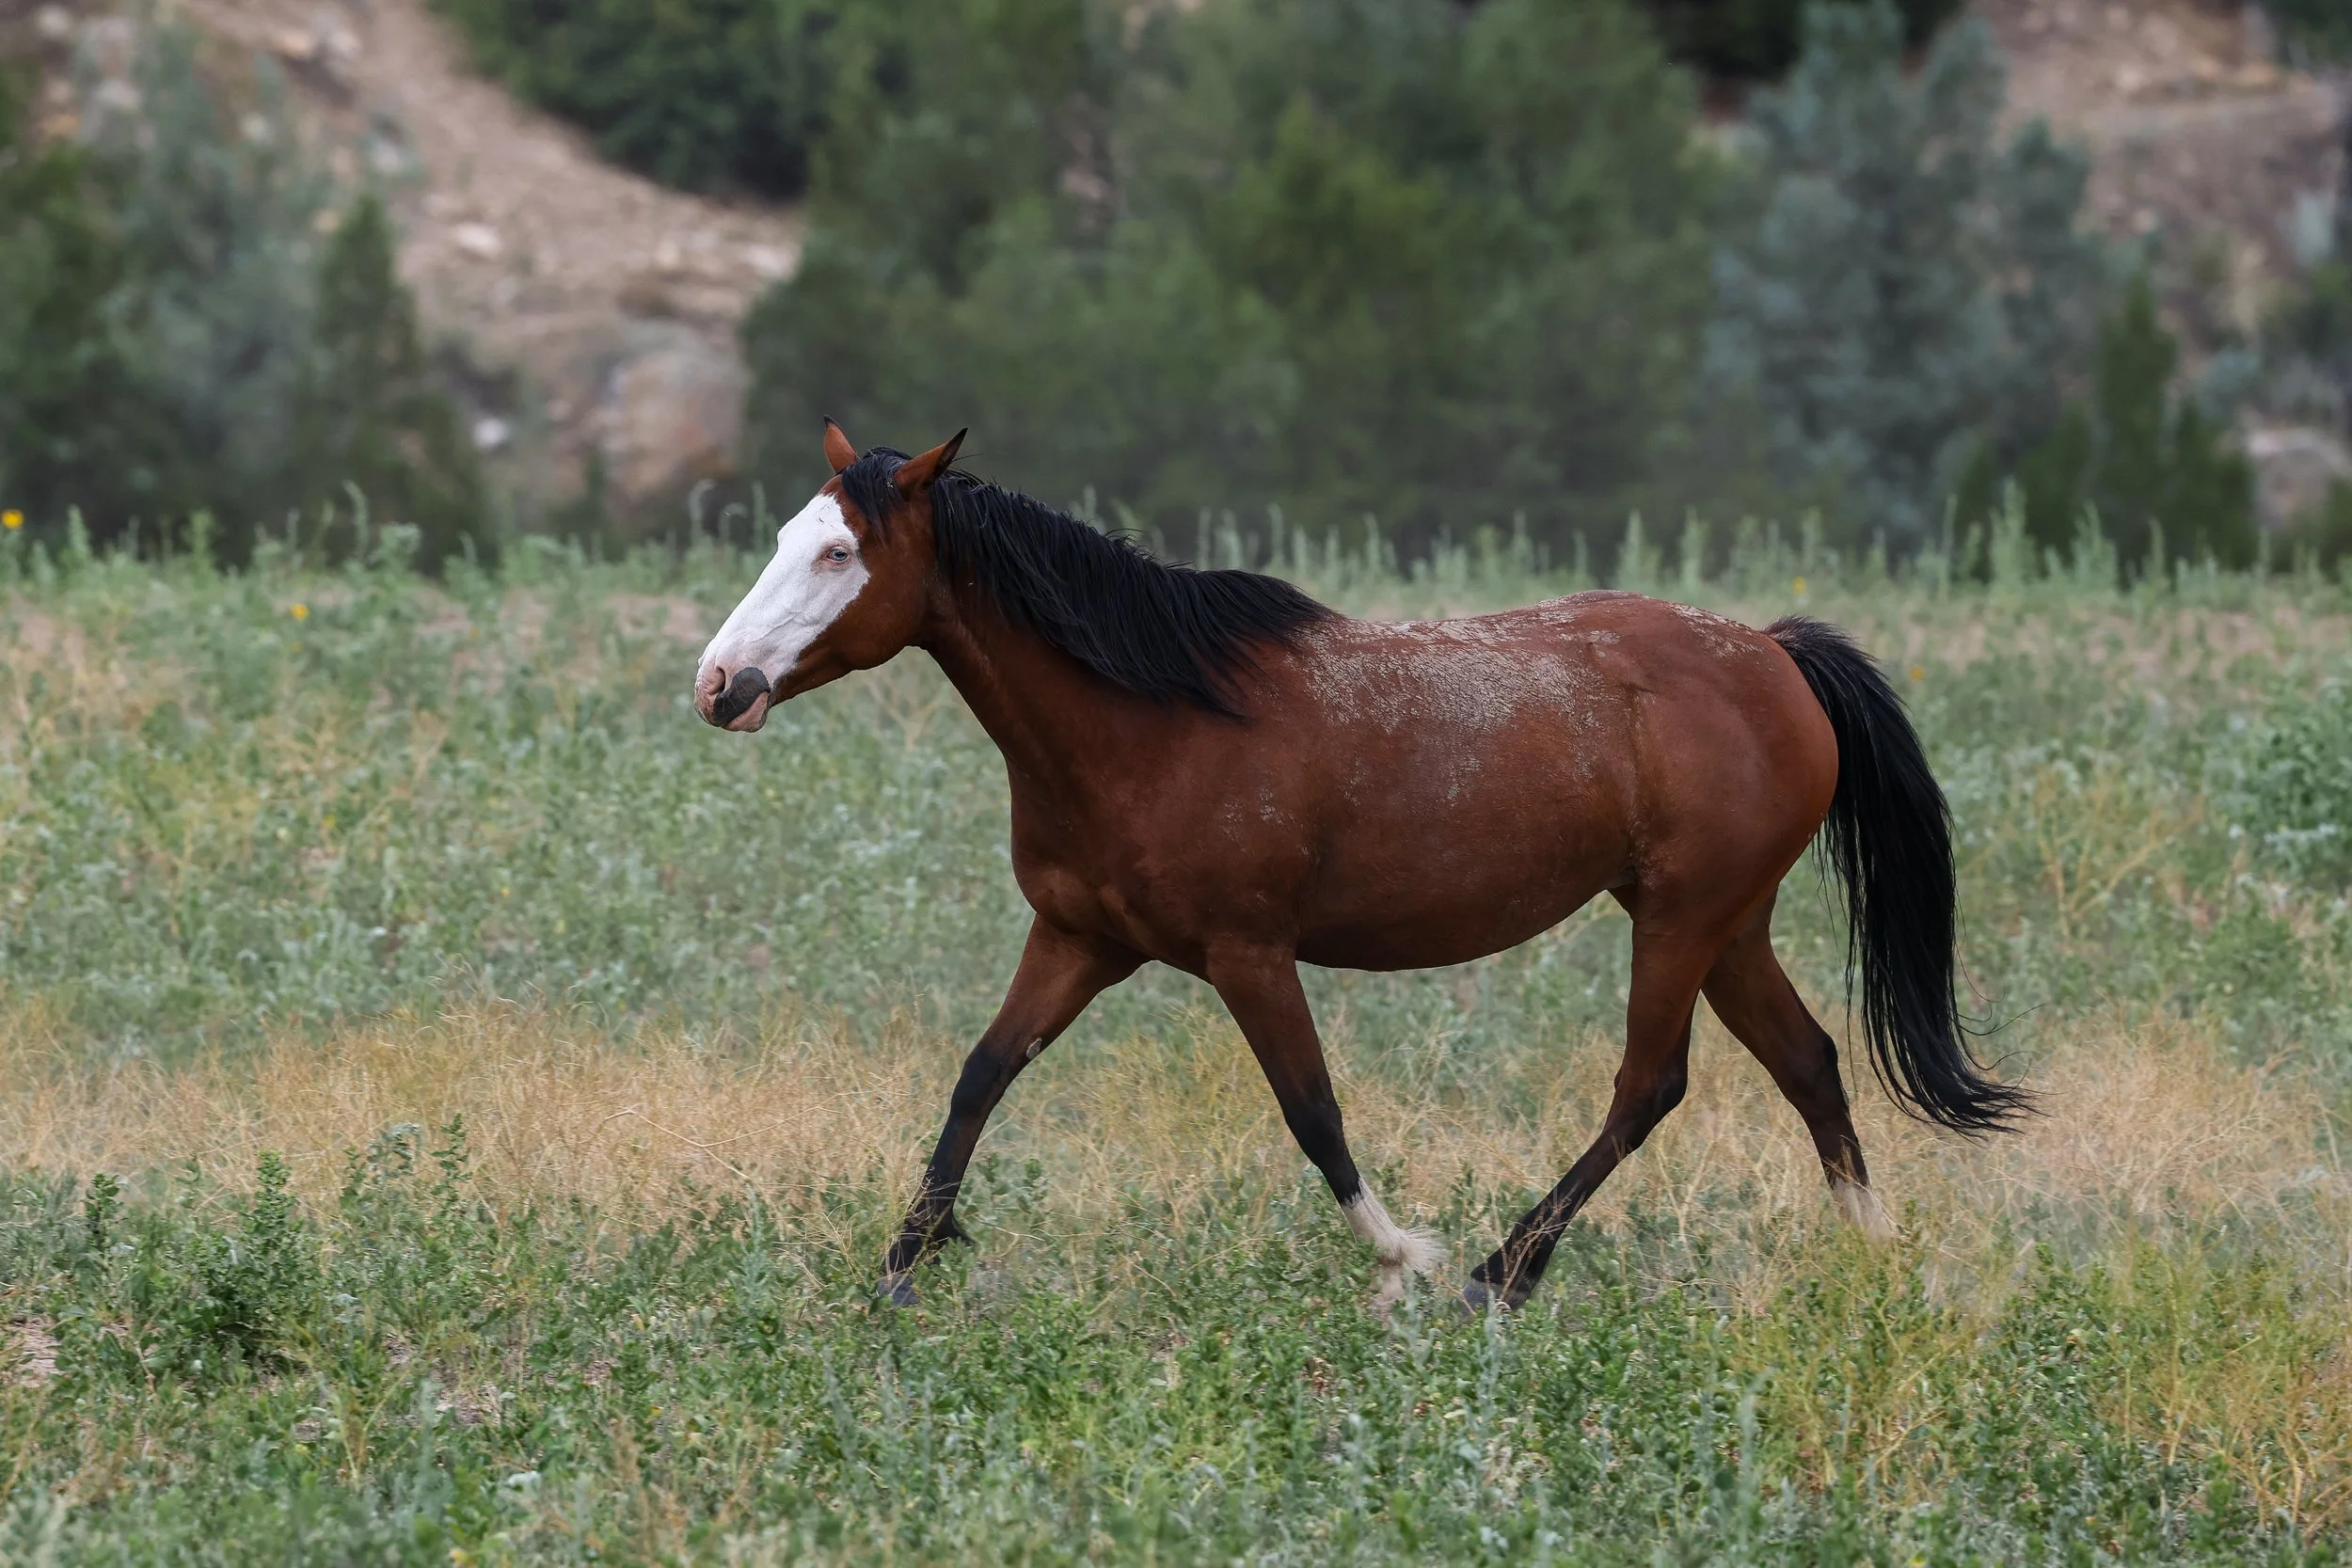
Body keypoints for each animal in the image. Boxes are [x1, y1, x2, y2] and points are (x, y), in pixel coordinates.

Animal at [694, 424, 2027, 1314]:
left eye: (837, 556)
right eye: (787, 537)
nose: (717, 684)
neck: (1146, 719)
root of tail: (1773, 653)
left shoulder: (1247, 952)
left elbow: (1312, 1109)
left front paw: (1404, 1263)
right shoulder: (1078, 940)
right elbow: (978, 1078)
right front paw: (893, 1273)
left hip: (1686, 919)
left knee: (1648, 1086)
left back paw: (1496, 1273)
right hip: (1726, 923)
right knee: (1808, 1064)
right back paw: (1876, 1264)